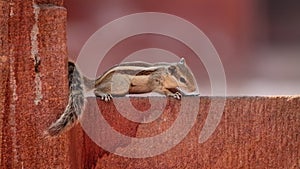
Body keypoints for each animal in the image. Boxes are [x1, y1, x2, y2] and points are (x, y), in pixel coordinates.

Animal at [45, 57, 197, 137]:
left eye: (191, 75)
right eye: (182, 79)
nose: (194, 88)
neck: (166, 74)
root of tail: (99, 79)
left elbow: (175, 88)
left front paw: (183, 93)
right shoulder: (156, 81)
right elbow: (162, 90)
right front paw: (172, 94)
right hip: (121, 85)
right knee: (97, 90)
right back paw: (103, 93)